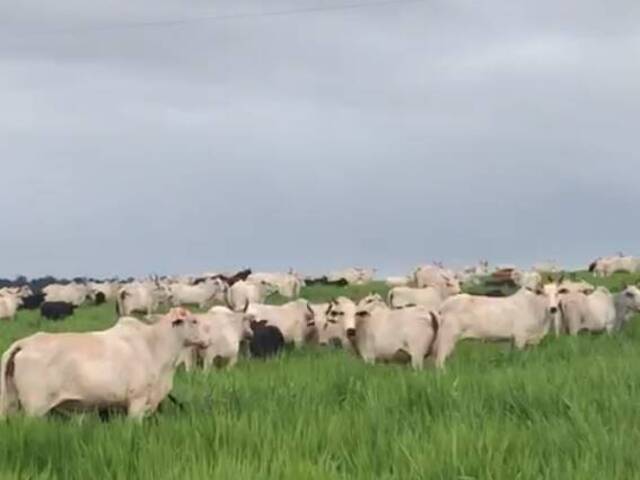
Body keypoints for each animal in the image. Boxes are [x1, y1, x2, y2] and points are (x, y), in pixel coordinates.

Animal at [0, 308, 208, 420]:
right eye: (194, 321)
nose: (208, 339)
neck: (154, 345)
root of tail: (25, 343)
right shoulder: (137, 401)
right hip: (34, 409)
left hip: (12, 403)